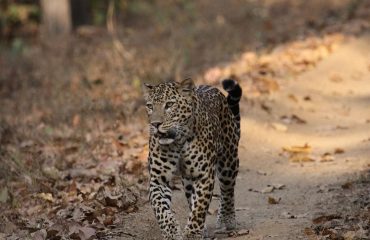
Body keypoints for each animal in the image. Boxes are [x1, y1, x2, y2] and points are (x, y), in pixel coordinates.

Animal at [142, 77, 243, 240]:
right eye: (150, 106)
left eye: (169, 105)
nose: (155, 124)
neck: (178, 142)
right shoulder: (158, 179)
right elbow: (161, 209)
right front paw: (171, 232)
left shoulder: (204, 176)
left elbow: (200, 208)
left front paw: (192, 233)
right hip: (188, 180)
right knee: (191, 198)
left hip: (228, 161)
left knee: (227, 191)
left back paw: (227, 219)